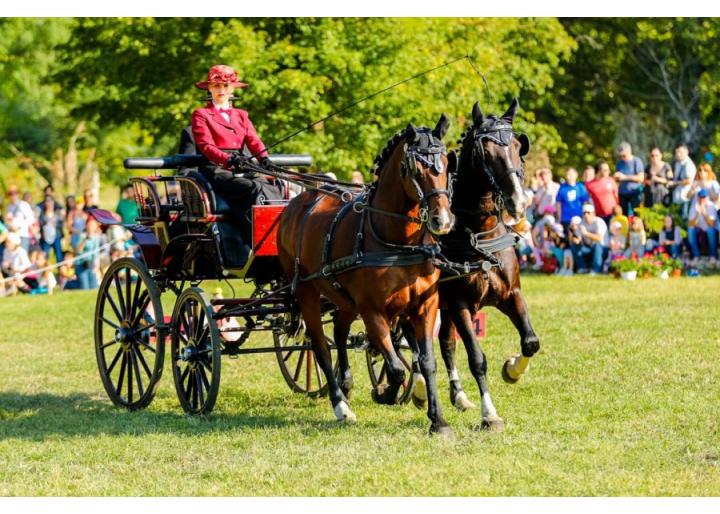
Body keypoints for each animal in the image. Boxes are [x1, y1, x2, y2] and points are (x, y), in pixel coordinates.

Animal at [278, 115, 456, 432]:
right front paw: (386, 393)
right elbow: (396, 368)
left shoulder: (425, 306)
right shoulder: (373, 310)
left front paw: (437, 419)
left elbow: (426, 362)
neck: (398, 242)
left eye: (447, 163)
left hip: (344, 298)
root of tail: (298, 202)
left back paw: (346, 385)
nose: (442, 220)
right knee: (320, 345)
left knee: (339, 331)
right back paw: (340, 405)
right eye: (416, 167)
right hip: (308, 293)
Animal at [404, 99, 540, 428]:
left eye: (517, 145)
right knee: (413, 341)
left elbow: (530, 341)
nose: (518, 202)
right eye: (486, 152)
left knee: (444, 343)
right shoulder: (460, 304)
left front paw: (513, 369)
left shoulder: (511, 294)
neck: (478, 232)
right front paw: (489, 414)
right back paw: (419, 389)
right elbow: (477, 359)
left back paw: (458, 395)